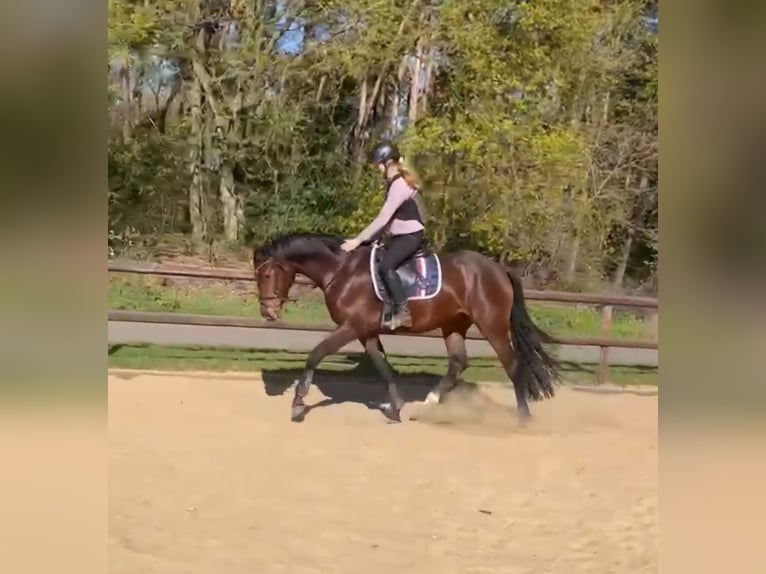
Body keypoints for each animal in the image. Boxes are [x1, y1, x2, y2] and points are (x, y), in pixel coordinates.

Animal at [254, 232, 560, 424]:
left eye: (266, 275)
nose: (268, 312)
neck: (342, 272)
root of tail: (499, 269)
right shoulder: (366, 331)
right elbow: (381, 364)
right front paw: (395, 406)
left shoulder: (351, 326)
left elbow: (316, 353)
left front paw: (298, 404)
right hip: (454, 324)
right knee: (458, 362)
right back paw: (428, 403)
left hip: (492, 326)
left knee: (513, 366)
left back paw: (523, 420)